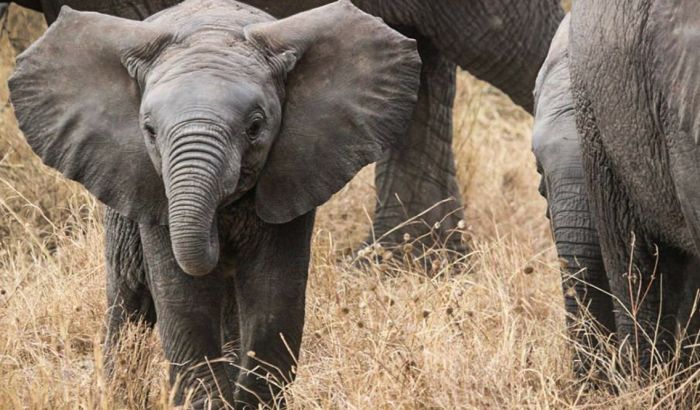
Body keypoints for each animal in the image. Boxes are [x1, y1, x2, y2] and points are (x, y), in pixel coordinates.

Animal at [10, 0, 418, 406]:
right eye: (150, 131)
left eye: (255, 127)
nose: (216, 235)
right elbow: (184, 301)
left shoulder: (296, 172)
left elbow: (274, 297)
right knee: (129, 297)